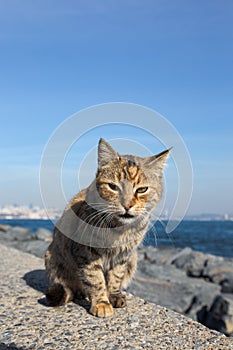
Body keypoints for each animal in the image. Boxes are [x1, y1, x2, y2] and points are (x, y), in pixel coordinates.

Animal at [44, 139, 171, 318]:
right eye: (113, 187)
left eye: (142, 189)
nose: (127, 205)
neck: (119, 229)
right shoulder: (86, 253)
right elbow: (95, 278)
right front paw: (101, 302)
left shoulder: (124, 255)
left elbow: (116, 276)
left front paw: (114, 295)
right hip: (53, 258)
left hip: (133, 260)